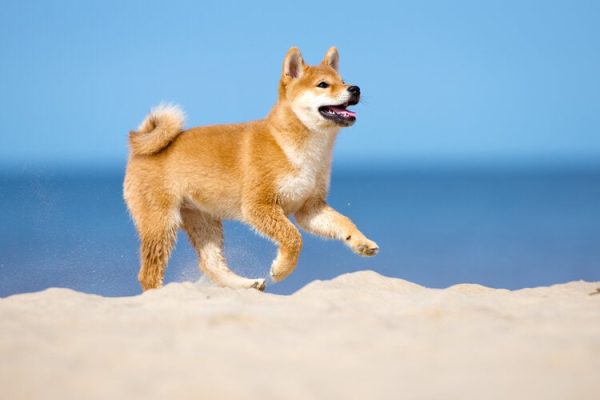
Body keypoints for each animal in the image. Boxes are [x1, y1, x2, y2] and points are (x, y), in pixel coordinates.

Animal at [123, 47, 378, 292]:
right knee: (148, 274)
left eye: (343, 80)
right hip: (161, 223)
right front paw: (281, 269)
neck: (295, 147)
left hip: (203, 220)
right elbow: (293, 237)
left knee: (211, 264)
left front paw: (361, 242)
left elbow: (343, 222)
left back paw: (246, 284)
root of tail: (139, 151)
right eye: (323, 84)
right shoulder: (259, 205)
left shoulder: (310, 208)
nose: (355, 88)